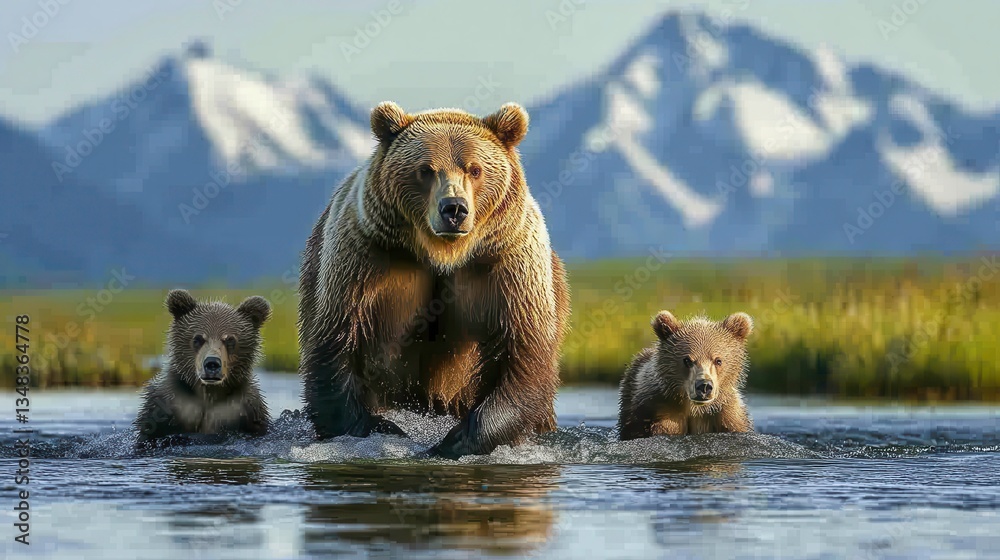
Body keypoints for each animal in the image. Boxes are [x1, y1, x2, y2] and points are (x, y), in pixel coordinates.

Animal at [134, 289, 272, 446]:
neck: (208, 394)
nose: (212, 363)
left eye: (230, 339)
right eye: (198, 338)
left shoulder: (245, 409)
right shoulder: (165, 405)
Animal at [297, 101, 570, 459]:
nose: (454, 209)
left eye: (475, 169)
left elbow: (523, 353)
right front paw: (383, 430)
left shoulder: (507, 265)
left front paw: (456, 440)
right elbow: (336, 343)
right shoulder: (363, 258)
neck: (442, 254)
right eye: (425, 170)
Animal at [618, 310, 754, 440]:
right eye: (687, 360)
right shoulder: (655, 406)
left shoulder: (727, 414)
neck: (695, 408)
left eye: (718, 360)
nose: (704, 386)